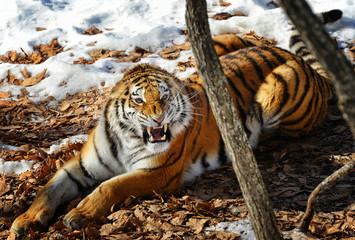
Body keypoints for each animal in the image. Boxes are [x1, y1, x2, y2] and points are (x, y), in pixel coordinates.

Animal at [12, 9, 344, 234]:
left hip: (276, 88)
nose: (159, 116)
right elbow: (48, 189)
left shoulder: (157, 172)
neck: (128, 138)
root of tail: (304, 65)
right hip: (219, 40)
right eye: (139, 100)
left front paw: (79, 214)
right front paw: (24, 220)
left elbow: (111, 186)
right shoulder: (78, 167)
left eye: (165, 96)